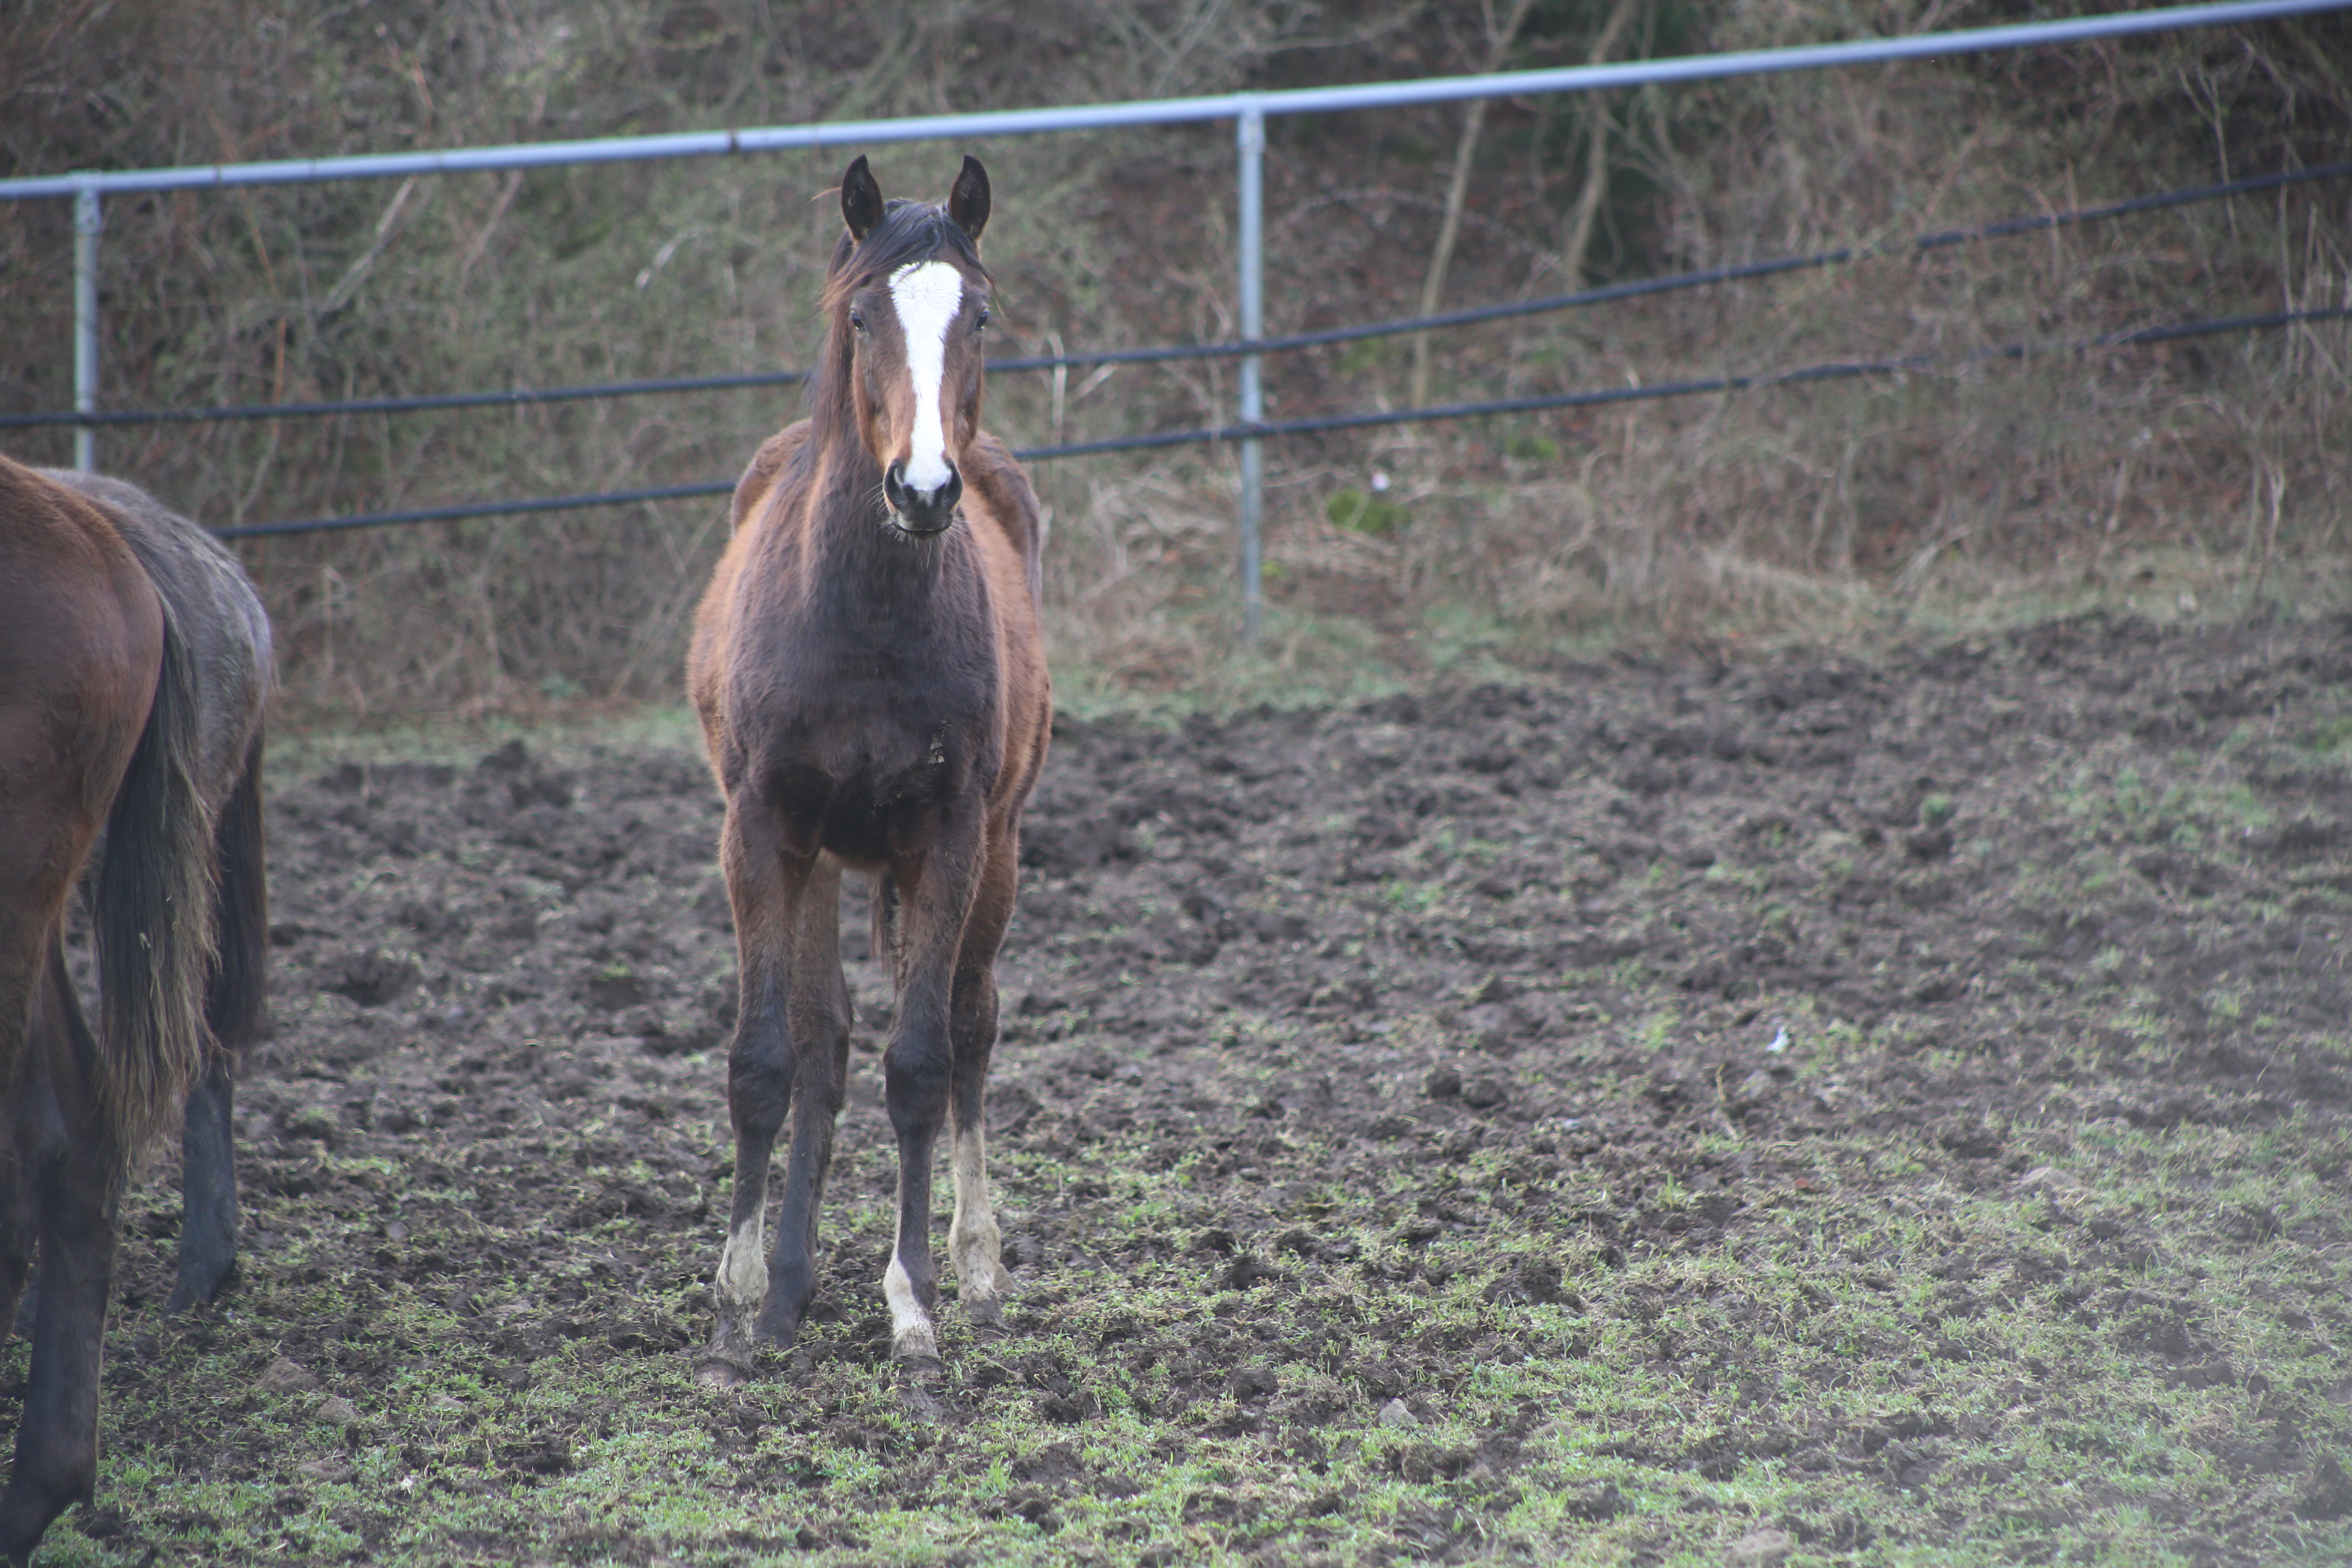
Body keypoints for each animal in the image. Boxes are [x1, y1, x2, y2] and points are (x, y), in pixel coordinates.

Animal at [686, 156, 1044, 1382]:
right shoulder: (761, 833)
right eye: (859, 317)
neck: (864, 618)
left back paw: (978, 1270)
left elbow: (922, 1066)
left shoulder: (949, 838)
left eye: (976, 315)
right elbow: (770, 1061)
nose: (922, 490)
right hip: (818, 860)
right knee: (821, 1044)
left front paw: (914, 1307)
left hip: (997, 855)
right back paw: (785, 1282)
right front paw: (746, 1302)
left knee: (974, 1027)